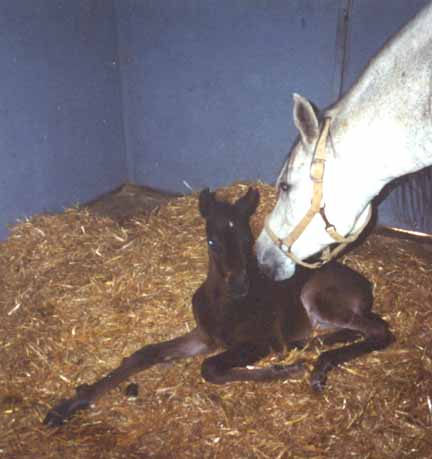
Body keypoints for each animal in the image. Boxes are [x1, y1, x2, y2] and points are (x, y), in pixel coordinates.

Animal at [44, 187, 394, 428]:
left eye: (247, 238)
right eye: (212, 241)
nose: (239, 285)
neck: (224, 304)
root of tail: (366, 286)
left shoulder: (258, 342)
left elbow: (210, 368)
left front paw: (286, 370)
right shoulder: (205, 336)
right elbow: (145, 354)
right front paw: (65, 407)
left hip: (318, 297)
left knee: (380, 330)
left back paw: (319, 367)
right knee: (350, 331)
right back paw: (310, 350)